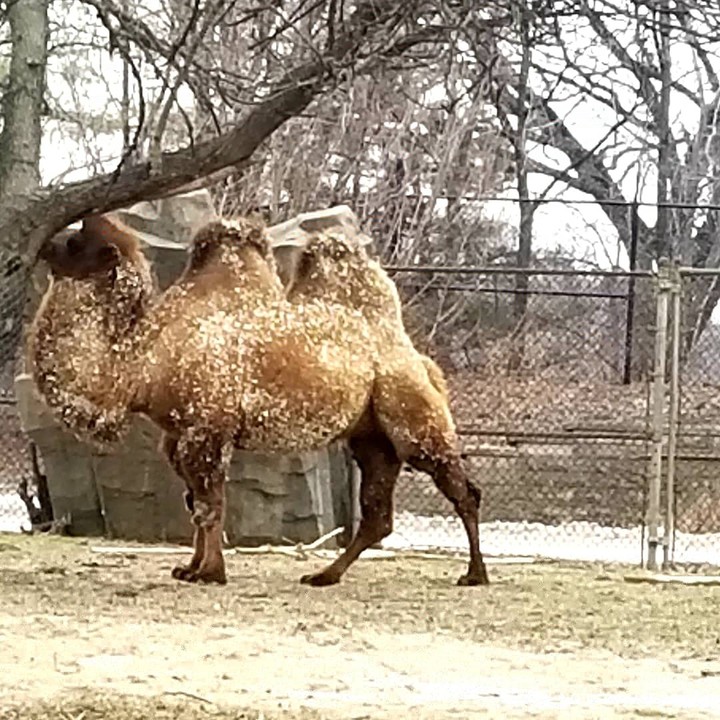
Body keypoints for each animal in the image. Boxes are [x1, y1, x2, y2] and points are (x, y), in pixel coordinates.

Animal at [28, 214, 489, 587]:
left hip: (412, 416)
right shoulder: (177, 437)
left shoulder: (207, 429)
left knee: (463, 490)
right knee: (378, 517)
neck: (144, 363)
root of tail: (421, 360)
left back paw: (475, 574)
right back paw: (323, 575)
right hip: (372, 437)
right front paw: (190, 569)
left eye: (76, 243)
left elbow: (210, 505)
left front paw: (211, 573)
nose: (44, 245)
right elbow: (196, 504)